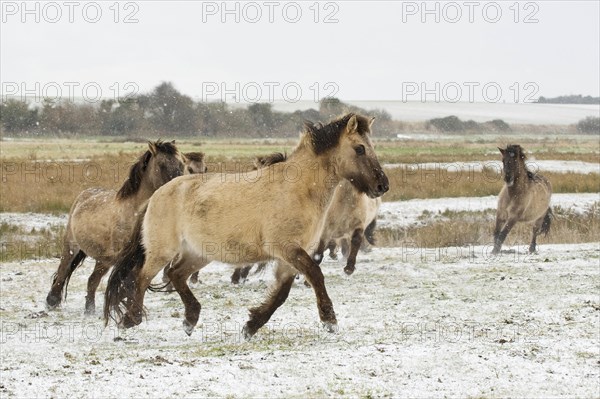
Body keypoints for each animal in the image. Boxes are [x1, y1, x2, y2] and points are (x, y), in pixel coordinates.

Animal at [103, 113, 390, 340]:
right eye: (360, 148)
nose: (382, 185)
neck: (299, 190)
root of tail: (156, 195)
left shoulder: (289, 257)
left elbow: (282, 293)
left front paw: (251, 325)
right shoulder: (287, 249)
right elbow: (315, 275)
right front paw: (329, 320)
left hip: (200, 253)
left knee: (175, 274)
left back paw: (190, 320)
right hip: (162, 250)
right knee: (141, 276)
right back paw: (131, 319)